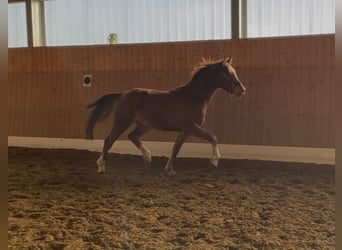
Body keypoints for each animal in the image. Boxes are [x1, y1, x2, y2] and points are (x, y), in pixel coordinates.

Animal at [85, 58, 246, 176]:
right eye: (227, 74)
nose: (242, 90)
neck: (193, 97)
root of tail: (122, 94)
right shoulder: (191, 126)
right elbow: (212, 137)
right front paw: (214, 161)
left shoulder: (185, 130)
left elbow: (176, 149)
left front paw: (169, 169)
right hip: (122, 121)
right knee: (109, 140)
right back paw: (101, 166)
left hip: (144, 124)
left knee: (132, 136)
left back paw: (147, 156)